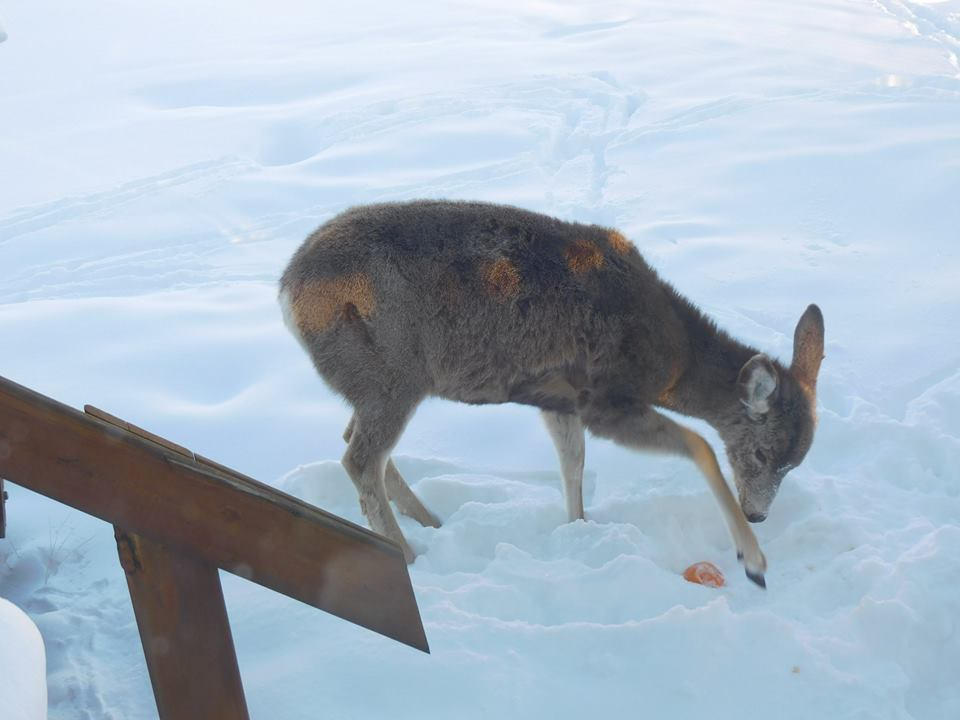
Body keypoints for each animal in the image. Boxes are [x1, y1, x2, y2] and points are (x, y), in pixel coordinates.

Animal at [279, 200, 825, 587]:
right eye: (761, 453)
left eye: (796, 462)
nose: (758, 513)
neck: (670, 360)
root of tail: (286, 291)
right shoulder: (603, 397)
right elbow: (700, 445)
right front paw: (753, 560)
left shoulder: (559, 397)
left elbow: (573, 462)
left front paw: (578, 528)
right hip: (395, 377)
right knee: (360, 458)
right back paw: (408, 555)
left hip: (373, 380)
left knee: (356, 441)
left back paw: (430, 522)